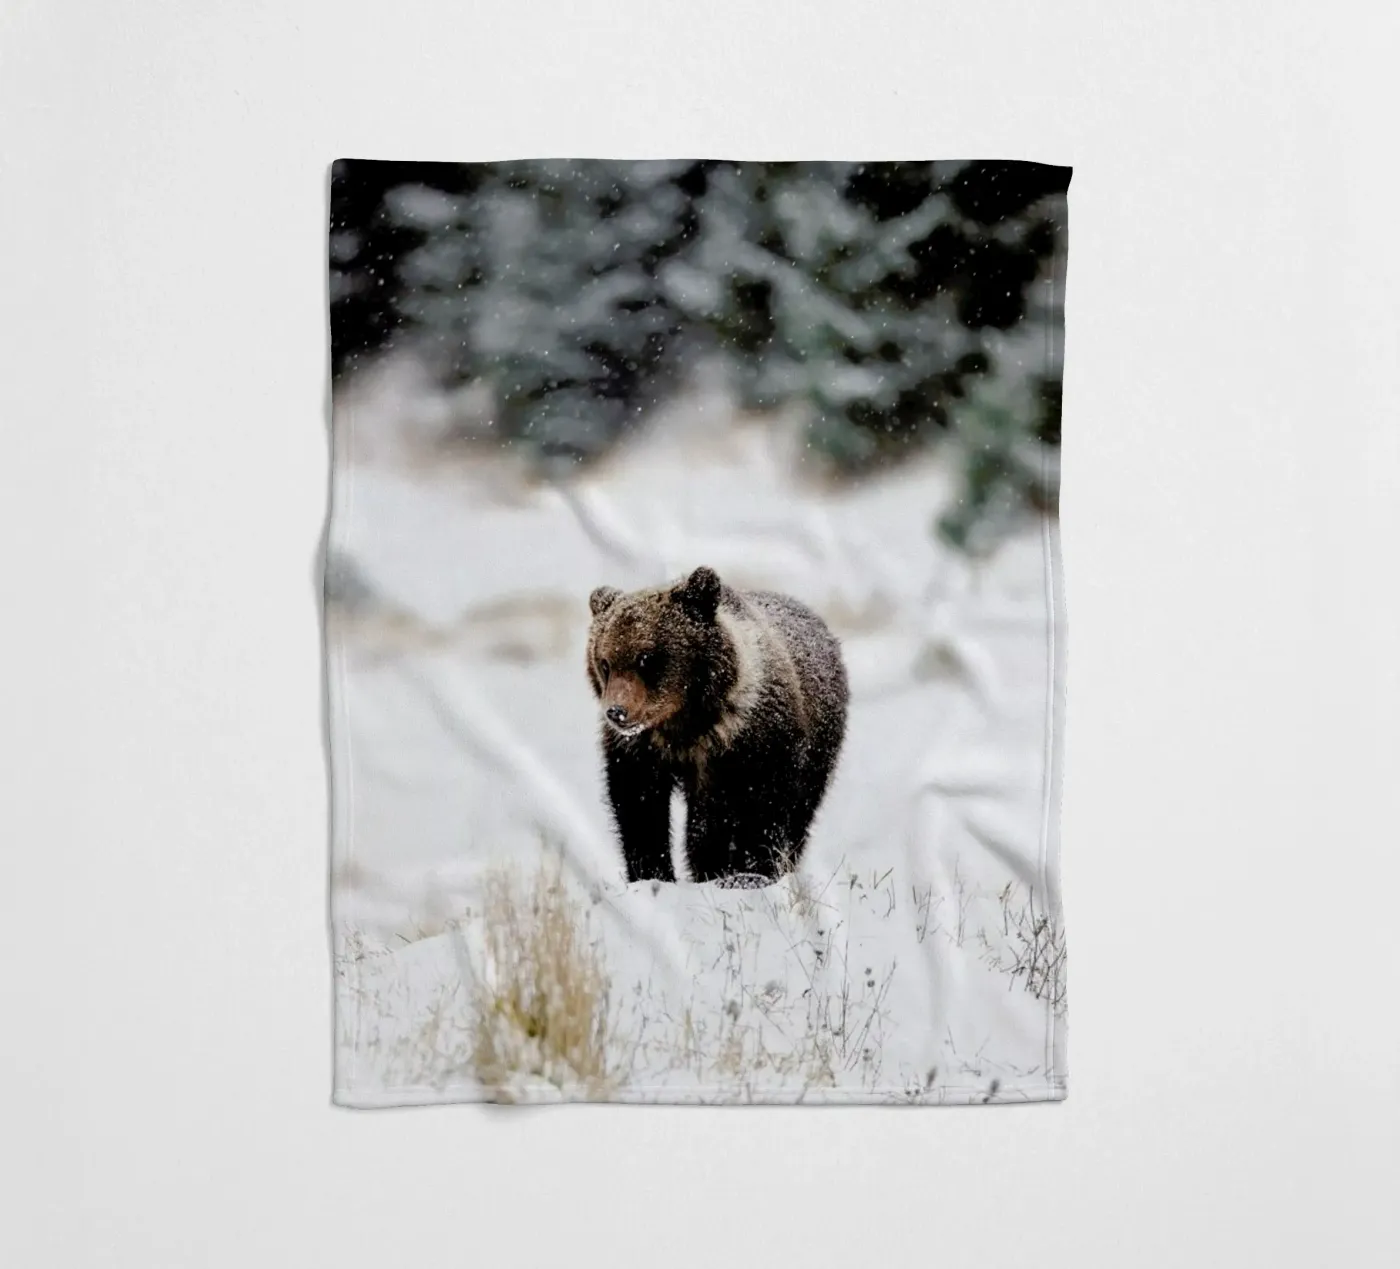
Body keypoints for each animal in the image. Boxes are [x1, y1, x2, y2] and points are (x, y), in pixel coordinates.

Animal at [586, 565, 848, 885]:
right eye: (605, 663)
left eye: (646, 658)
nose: (617, 712)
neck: (685, 726)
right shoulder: (641, 752)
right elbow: (640, 810)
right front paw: (653, 873)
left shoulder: (754, 745)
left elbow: (757, 814)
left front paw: (747, 872)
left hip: (819, 749)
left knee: (799, 813)